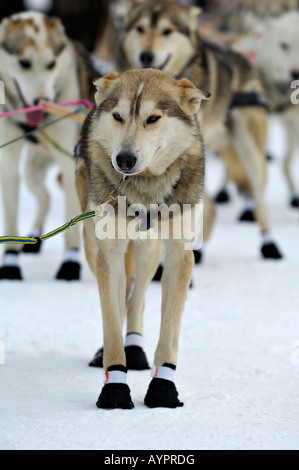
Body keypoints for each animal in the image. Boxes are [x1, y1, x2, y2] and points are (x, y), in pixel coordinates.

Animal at [0, 11, 96, 280]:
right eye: (24, 63)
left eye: (51, 64)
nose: (41, 101)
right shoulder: (8, 164)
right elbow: (10, 219)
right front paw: (11, 263)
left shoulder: (71, 163)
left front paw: (70, 263)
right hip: (32, 170)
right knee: (46, 197)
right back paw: (35, 235)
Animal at [75, 69, 211, 408]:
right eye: (118, 116)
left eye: (153, 118)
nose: (123, 159)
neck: (145, 188)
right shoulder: (109, 250)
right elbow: (111, 323)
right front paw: (114, 386)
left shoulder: (179, 253)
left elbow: (169, 328)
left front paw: (163, 387)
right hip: (92, 245)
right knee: (119, 298)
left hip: (149, 252)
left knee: (136, 299)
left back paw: (134, 347)